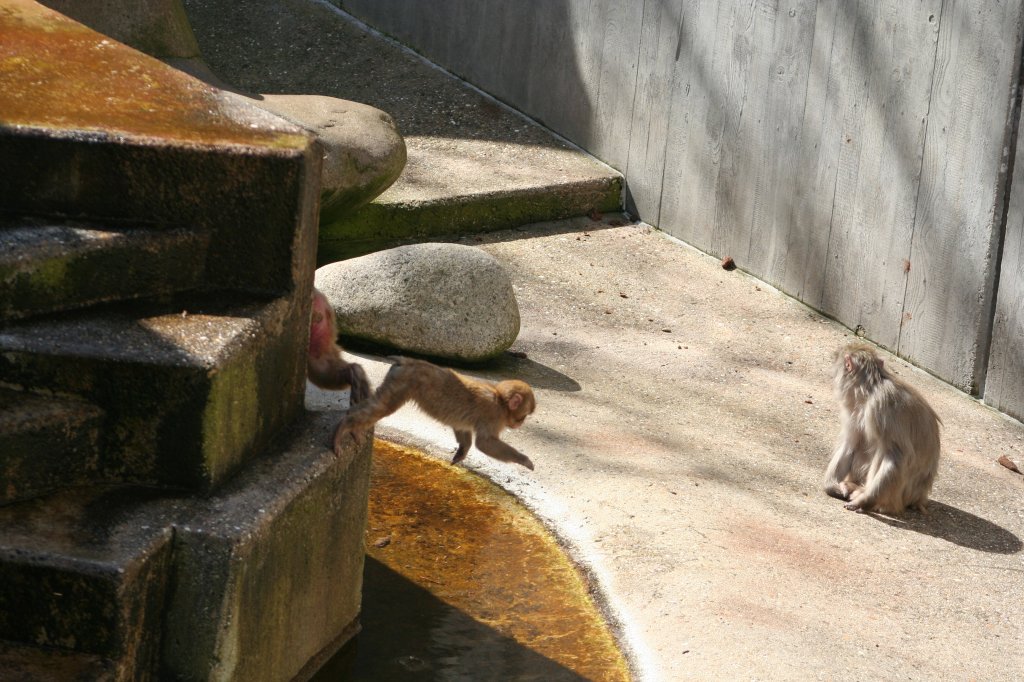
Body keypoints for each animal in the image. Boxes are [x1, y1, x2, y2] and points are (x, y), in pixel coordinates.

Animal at [337, 356, 544, 466]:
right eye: (523, 416)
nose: (520, 424)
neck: (500, 401)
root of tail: (408, 361)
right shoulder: (493, 416)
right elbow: (485, 443)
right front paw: (523, 459)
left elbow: (462, 427)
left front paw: (462, 452)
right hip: (404, 382)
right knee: (382, 406)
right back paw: (345, 426)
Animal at [823, 342, 942, 512]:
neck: (869, 390)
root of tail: (919, 498)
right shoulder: (853, 410)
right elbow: (850, 443)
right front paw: (832, 487)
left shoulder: (881, 405)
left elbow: (897, 456)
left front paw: (864, 500)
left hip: (900, 495)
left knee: (883, 450)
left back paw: (864, 493)